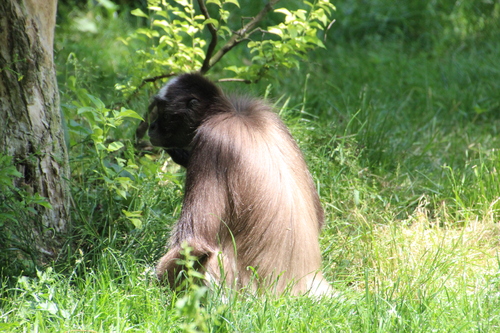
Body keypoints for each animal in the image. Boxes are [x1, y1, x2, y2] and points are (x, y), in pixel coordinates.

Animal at [149, 73, 332, 296]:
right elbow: (319, 215)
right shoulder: (272, 117)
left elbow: (196, 242)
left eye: (163, 114)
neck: (228, 111)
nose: (151, 127)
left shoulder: (212, 140)